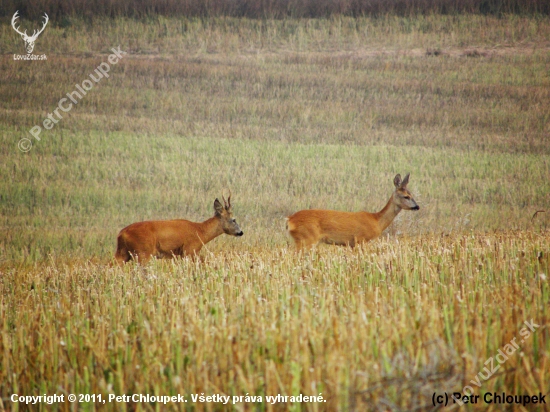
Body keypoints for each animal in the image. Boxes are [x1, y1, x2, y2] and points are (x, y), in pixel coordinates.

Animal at [116, 192, 244, 264]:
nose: (241, 232)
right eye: (234, 219)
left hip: (122, 253)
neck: (200, 232)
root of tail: (121, 233)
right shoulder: (190, 250)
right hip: (142, 252)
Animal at [286, 172, 420, 249]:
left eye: (411, 195)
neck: (376, 220)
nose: (417, 206)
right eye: (406, 196)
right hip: (307, 238)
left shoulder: (350, 244)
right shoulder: (360, 240)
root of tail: (289, 220)